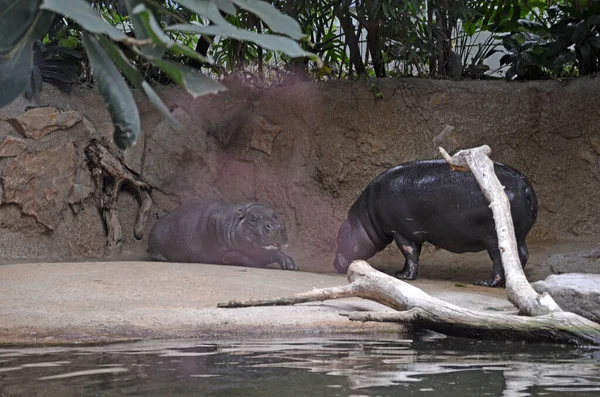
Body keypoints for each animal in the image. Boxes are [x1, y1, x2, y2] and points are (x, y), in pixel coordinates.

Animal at [148, 200, 298, 270]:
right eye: (253, 218)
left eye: (276, 215)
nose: (276, 226)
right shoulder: (222, 253)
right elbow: (240, 255)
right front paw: (256, 264)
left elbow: (274, 252)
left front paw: (291, 264)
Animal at [332, 159, 540, 286]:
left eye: (339, 238)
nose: (334, 264)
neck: (364, 218)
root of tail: (526, 187)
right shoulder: (413, 233)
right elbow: (413, 255)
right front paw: (401, 273)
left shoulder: (400, 232)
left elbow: (409, 253)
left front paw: (403, 277)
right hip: (519, 235)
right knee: (522, 254)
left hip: (496, 237)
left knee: (499, 260)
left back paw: (486, 283)